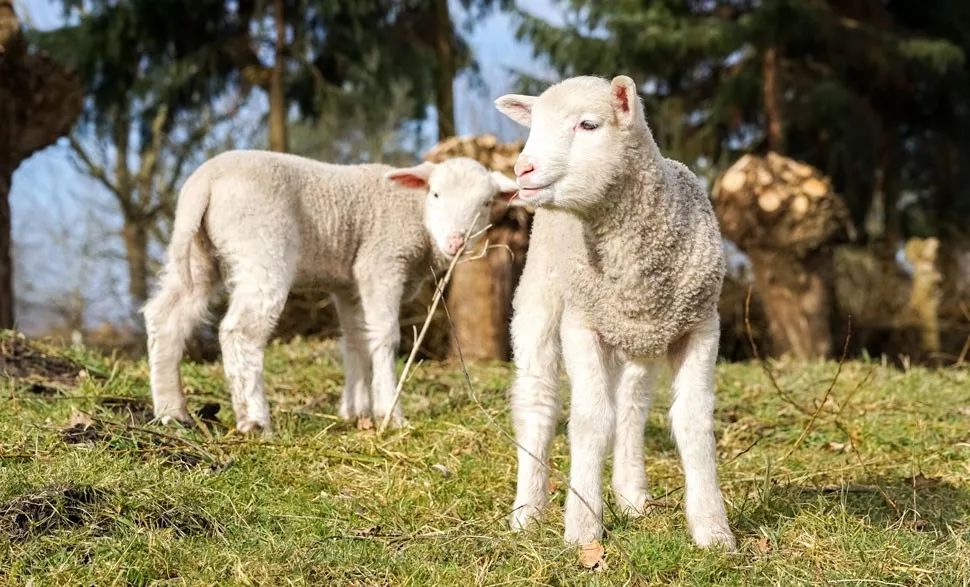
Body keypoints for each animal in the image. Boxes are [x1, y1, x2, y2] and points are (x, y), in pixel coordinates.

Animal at [141, 150, 520, 436]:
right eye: (436, 194)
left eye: (486, 203)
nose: (457, 242)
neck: (415, 212)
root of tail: (205, 181)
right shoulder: (381, 262)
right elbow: (385, 338)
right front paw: (390, 414)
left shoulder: (348, 284)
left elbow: (355, 340)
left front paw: (355, 410)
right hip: (261, 247)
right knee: (240, 332)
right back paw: (255, 420)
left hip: (198, 253)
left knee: (166, 317)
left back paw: (172, 412)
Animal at [496, 76, 728, 548]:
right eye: (534, 124)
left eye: (589, 125)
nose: (523, 169)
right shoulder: (581, 324)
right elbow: (590, 420)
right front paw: (583, 528)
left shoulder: (701, 326)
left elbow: (693, 421)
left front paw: (713, 530)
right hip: (540, 297)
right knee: (537, 400)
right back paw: (527, 511)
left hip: (640, 336)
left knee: (632, 407)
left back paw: (631, 496)